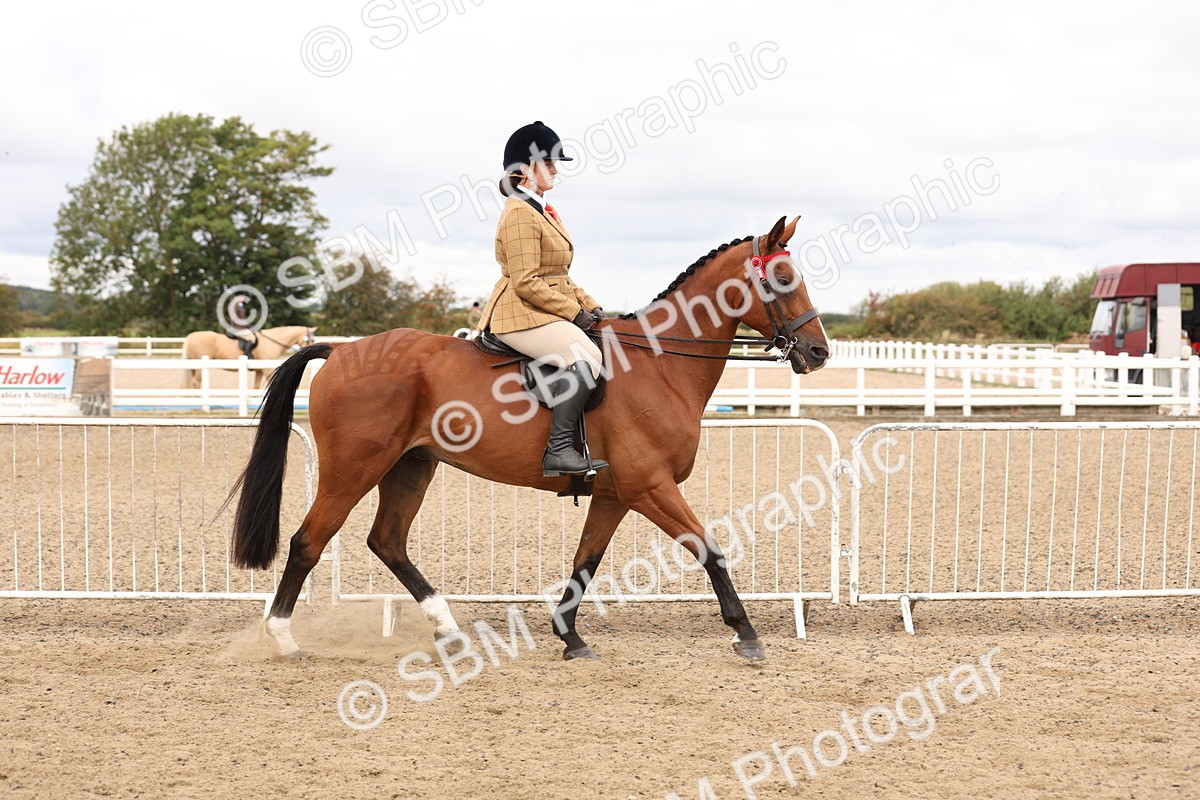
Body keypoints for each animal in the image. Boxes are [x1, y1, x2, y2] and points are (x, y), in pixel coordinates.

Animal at [181, 326, 315, 389]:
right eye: (312, 339)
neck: (270, 342)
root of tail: (191, 336)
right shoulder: (267, 369)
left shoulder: (260, 371)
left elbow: (255, 387)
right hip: (199, 366)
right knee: (196, 382)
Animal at [229, 216, 829, 662]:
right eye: (781, 279)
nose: (818, 353)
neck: (660, 365)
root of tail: (341, 349)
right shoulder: (651, 487)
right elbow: (710, 549)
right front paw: (746, 634)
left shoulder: (615, 494)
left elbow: (586, 562)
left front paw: (570, 636)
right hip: (353, 469)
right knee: (309, 541)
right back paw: (283, 639)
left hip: (412, 465)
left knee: (388, 541)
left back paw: (447, 627)